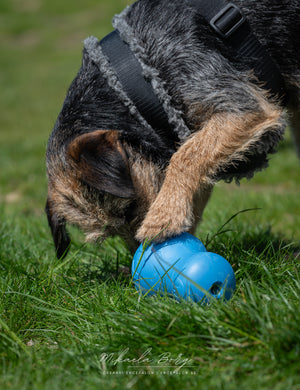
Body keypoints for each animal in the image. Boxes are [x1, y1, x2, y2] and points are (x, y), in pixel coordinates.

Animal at [45, 0, 300, 258]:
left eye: (129, 209)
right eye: (110, 233)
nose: (139, 257)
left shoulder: (241, 106)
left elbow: (185, 156)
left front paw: (161, 219)